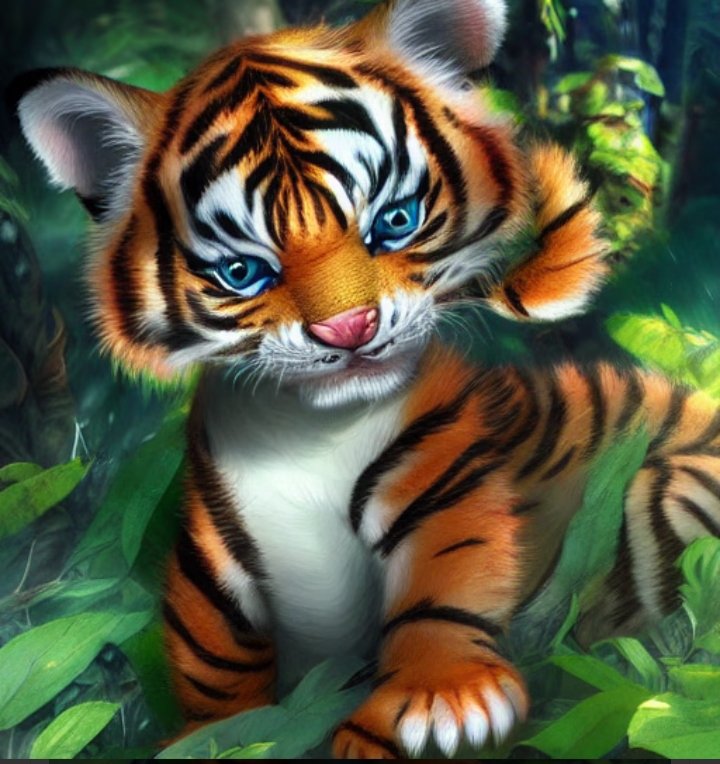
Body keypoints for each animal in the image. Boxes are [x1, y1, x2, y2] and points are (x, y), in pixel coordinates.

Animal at [11, 0, 720, 758]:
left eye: (395, 222)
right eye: (243, 271)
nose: (349, 330)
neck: (306, 431)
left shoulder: (445, 491)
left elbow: (443, 589)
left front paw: (442, 702)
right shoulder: (211, 552)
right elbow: (216, 658)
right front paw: (216, 738)